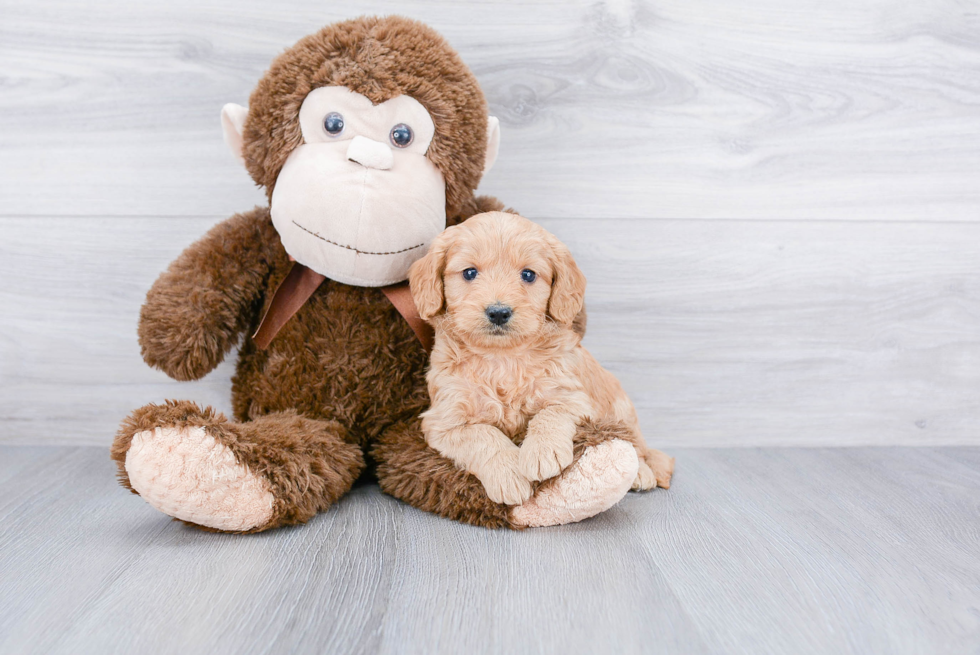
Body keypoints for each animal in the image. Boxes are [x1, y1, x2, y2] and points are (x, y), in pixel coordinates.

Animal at [406, 213, 672, 504]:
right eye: (469, 273)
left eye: (528, 275)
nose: (498, 312)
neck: (502, 358)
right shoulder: (444, 421)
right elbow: (483, 434)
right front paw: (509, 473)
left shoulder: (575, 399)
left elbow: (550, 412)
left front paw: (542, 452)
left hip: (621, 407)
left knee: (638, 446)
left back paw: (641, 472)